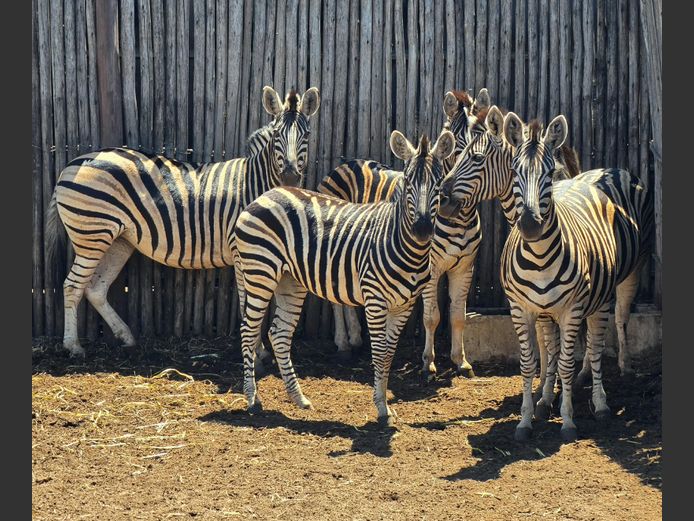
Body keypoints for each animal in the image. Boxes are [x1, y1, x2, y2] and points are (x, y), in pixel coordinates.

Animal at [44, 86, 321, 356]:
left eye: (306, 135)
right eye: (276, 135)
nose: (290, 178)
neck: (255, 183)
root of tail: (71, 164)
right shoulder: (245, 251)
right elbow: (248, 302)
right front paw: (259, 351)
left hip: (118, 239)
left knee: (95, 288)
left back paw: (125, 336)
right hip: (92, 235)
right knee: (72, 285)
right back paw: (73, 346)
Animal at [232, 130, 456, 425]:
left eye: (438, 183)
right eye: (408, 180)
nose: (421, 229)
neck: (406, 247)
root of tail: (266, 194)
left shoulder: (405, 305)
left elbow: (389, 354)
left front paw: (386, 406)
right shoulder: (374, 300)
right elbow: (379, 353)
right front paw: (382, 408)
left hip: (290, 280)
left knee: (278, 333)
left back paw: (298, 398)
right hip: (260, 271)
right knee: (249, 330)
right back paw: (252, 399)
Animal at [315, 88, 491, 380]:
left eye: (481, 150)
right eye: (457, 147)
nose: (451, 203)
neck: (460, 220)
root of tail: (348, 162)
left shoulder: (465, 267)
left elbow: (458, 316)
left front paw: (461, 361)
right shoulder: (431, 268)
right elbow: (432, 316)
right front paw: (428, 363)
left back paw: (355, 339)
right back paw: (343, 343)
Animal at [497, 112, 653, 441]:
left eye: (547, 173)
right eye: (515, 171)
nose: (529, 225)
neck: (539, 256)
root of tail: (611, 170)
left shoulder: (572, 308)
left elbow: (566, 364)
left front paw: (568, 420)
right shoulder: (522, 309)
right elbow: (531, 364)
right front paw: (526, 419)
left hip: (621, 280)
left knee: (604, 336)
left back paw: (604, 397)